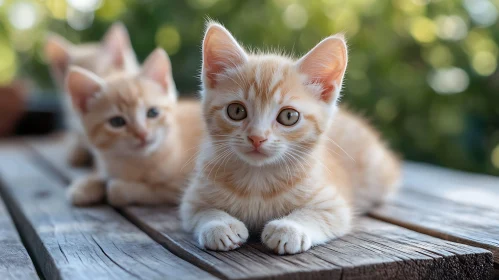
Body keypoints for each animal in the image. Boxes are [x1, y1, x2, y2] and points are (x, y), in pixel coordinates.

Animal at [65, 47, 204, 206]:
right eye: (117, 122)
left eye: (153, 112)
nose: (142, 133)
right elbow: (104, 174)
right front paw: (87, 184)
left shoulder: (179, 187)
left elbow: (137, 190)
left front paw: (115, 188)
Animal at [181, 23, 402, 255]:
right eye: (236, 111)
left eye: (288, 116)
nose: (257, 137)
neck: (257, 179)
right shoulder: (192, 199)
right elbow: (203, 211)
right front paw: (220, 225)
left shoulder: (334, 205)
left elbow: (316, 215)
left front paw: (289, 229)